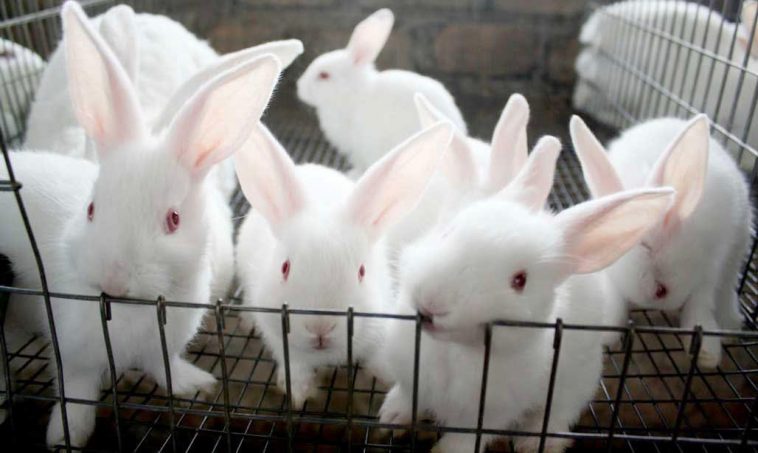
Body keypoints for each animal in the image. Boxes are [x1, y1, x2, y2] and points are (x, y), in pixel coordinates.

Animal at [234, 120, 454, 408]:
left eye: (361, 272)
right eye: (285, 268)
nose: (320, 329)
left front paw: (385, 375)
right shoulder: (278, 336)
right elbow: (295, 363)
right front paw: (300, 392)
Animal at [377, 137, 675, 453]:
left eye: (520, 281)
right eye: (448, 232)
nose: (432, 302)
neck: (449, 350)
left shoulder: (490, 413)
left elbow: (465, 437)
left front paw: (445, 451)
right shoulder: (410, 377)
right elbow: (407, 395)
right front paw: (390, 418)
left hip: (576, 383)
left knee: (557, 415)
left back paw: (533, 443)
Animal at [570, 114, 753, 369]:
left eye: (661, 291)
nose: (654, 300)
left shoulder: (711, 266)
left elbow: (700, 305)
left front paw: (707, 354)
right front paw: (606, 336)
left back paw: (731, 324)